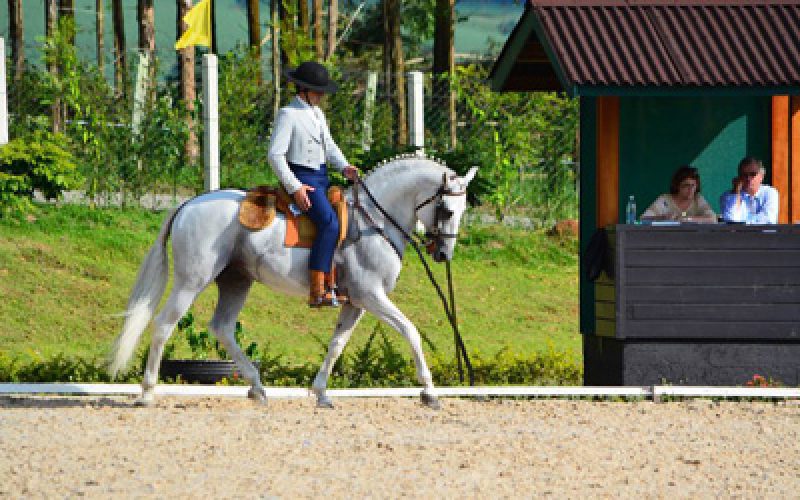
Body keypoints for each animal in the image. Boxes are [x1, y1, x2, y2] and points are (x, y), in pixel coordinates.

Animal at [111, 158, 476, 408]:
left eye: (462, 211)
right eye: (445, 210)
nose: (443, 253)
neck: (374, 221)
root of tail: (188, 204)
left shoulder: (356, 303)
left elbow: (336, 344)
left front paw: (321, 393)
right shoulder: (371, 296)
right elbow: (410, 331)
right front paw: (429, 392)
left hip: (236, 281)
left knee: (222, 328)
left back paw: (257, 387)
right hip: (192, 281)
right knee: (163, 324)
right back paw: (147, 393)